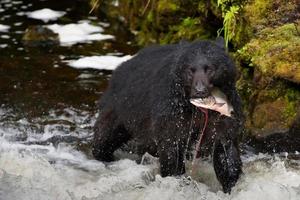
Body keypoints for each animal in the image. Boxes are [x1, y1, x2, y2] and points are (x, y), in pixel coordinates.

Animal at [92, 38, 245, 193]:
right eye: (190, 70)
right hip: (120, 106)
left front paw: (231, 185)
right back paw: (102, 156)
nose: (200, 90)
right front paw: (176, 178)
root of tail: (120, 68)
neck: (198, 108)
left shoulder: (225, 111)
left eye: (209, 69)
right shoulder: (173, 110)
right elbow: (172, 145)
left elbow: (225, 148)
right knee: (106, 135)